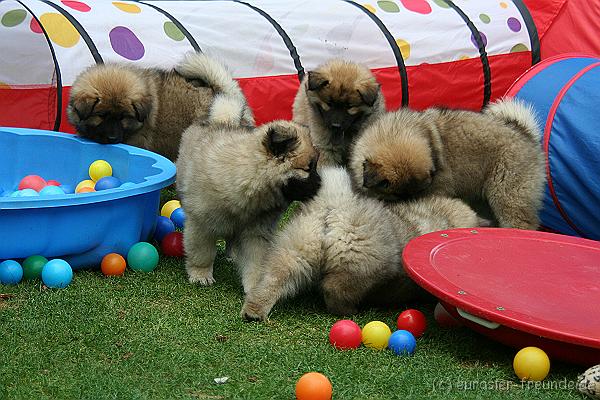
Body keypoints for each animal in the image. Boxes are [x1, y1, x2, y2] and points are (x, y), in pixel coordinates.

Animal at [176, 89, 322, 292]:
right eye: (307, 169)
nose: (321, 183)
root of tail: (221, 120)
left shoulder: (256, 233)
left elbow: (256, 262)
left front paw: (255, 286)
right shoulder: (201, 225)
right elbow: (202, 253)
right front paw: (201, 275)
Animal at [241, 166, 480, 322]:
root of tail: (333, 204)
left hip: (294, 251)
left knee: (272, 282)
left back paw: (254, 311)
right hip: (363, 265)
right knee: (334, 289)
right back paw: (350, 311)